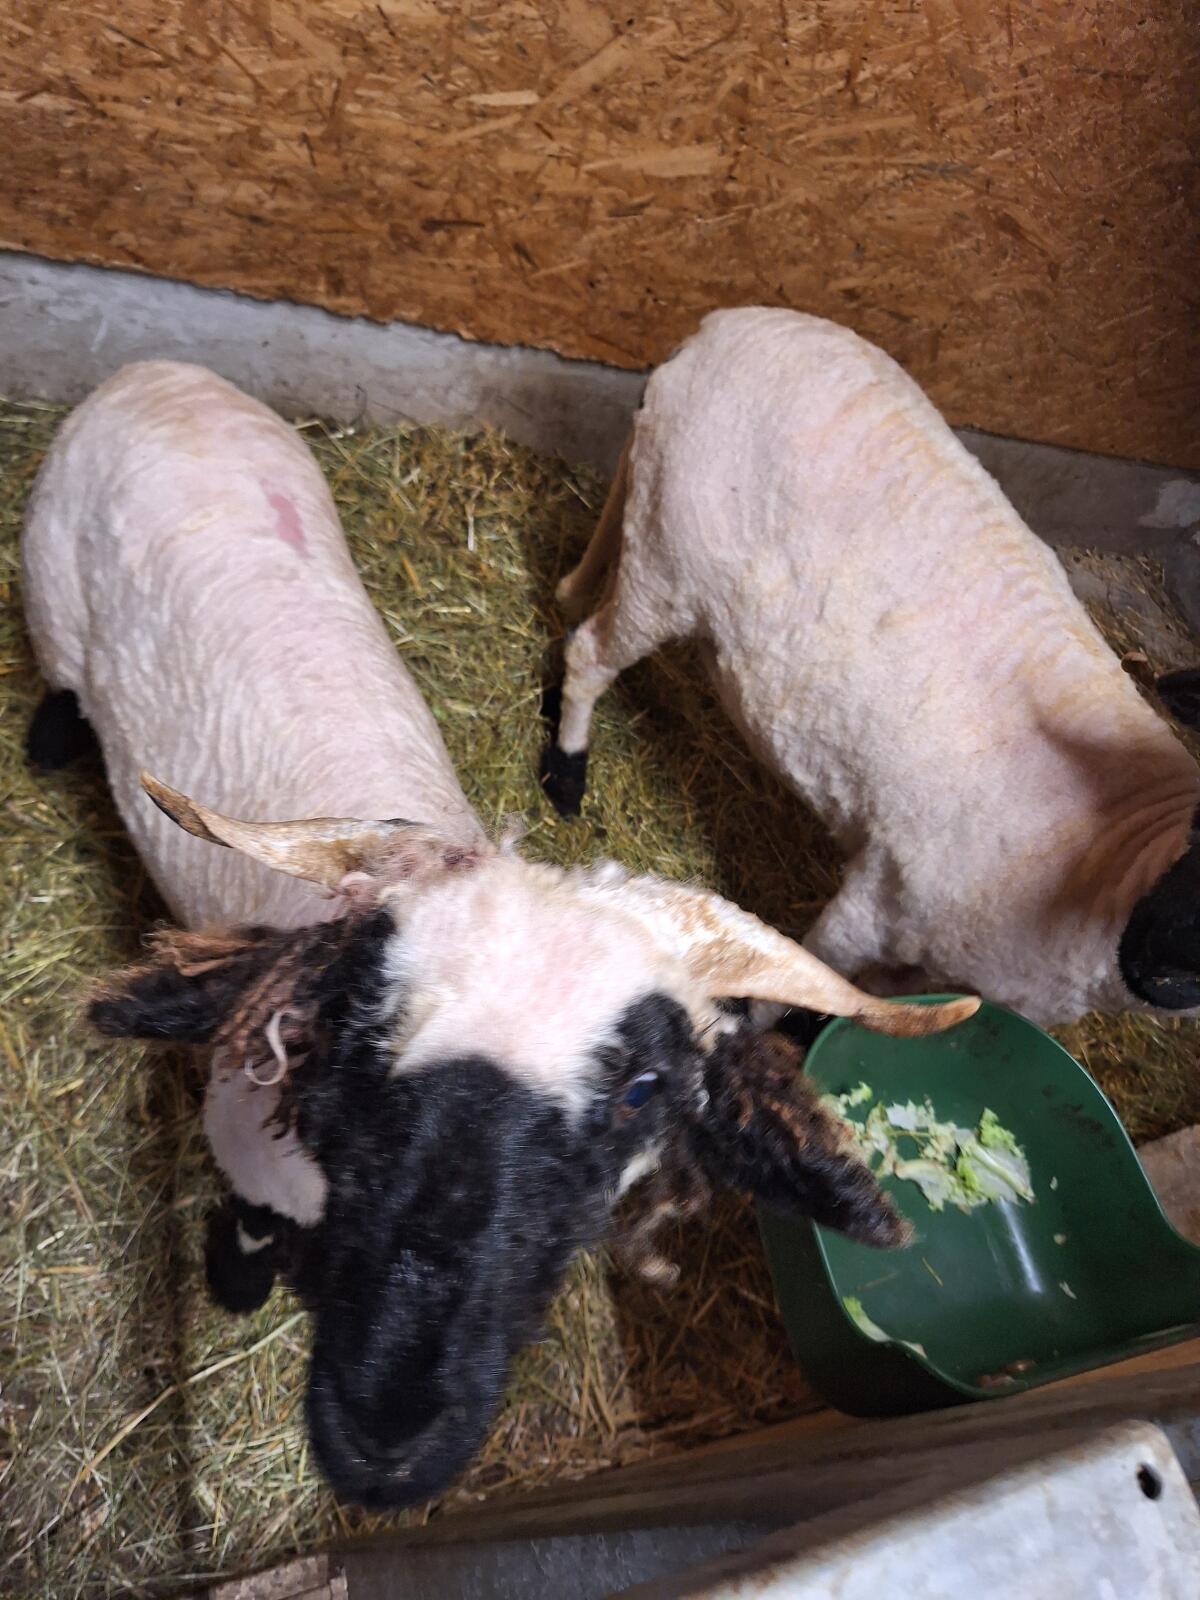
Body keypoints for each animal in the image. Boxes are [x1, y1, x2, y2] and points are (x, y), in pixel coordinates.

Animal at [22, 361, 977, 1511]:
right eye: (356, 1025)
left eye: (641, 1090)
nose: (387, 1436)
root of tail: (161, 374)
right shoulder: (243, 1142)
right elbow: (249, 1219)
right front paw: (239, 1280)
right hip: (48, 581)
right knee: (58, 671)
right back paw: (47, 737)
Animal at [542, 308, 1200, 1028]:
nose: (1162, 970)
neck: (1118, 859)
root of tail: (724, 326)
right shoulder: (879, 898)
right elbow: (797, 985)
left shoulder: (930, 963)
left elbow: (878, 1005)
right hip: (668, 563)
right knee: (591, 653)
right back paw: (566, 773)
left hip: (650, 500)